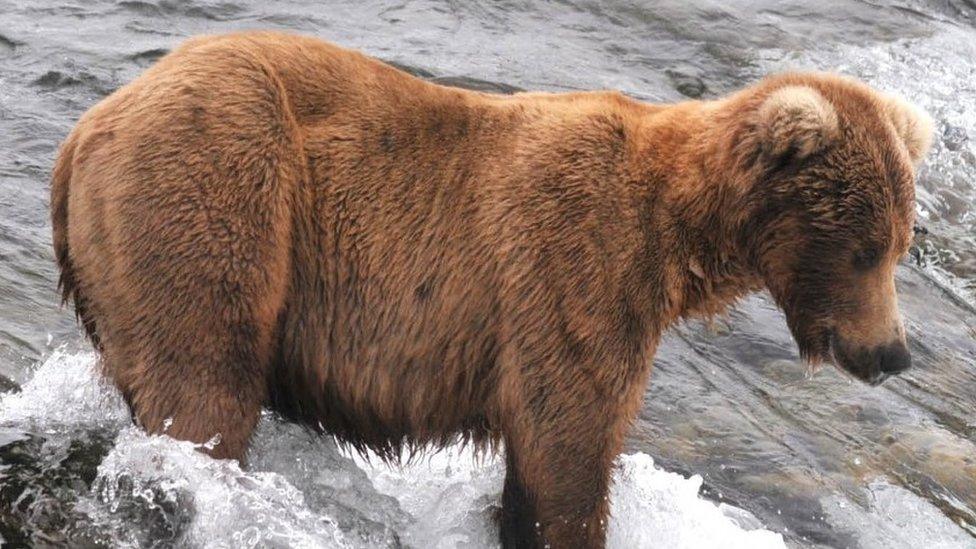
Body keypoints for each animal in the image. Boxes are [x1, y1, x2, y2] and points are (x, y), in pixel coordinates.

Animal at [51, 31, 932, 548]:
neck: (676, 238)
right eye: (864, 249)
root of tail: (86, 130)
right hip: (220, 186)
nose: (892, 351)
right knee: (202, 391)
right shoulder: (573, 275)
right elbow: (568, 449)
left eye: (900, 244)